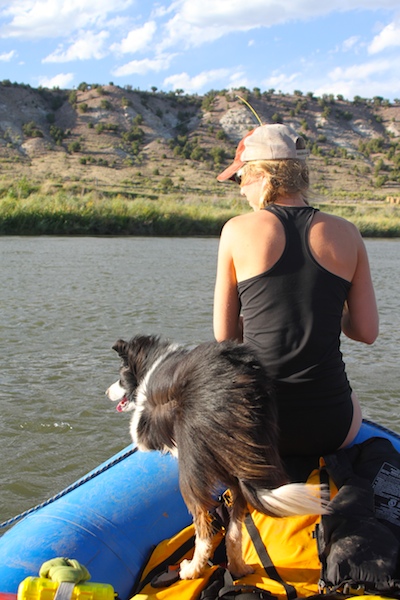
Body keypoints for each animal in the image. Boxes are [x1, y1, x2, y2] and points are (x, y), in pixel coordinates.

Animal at [106, 334, 329, 580]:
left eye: (120, 376)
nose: (107, 392)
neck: (151, 363)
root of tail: (231, 395)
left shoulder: (144, 427)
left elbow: (140, 434)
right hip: (240, 463)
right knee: (234, 530)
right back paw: (239, 567)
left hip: (191, 470)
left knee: (204, 530)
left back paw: (191, 570)